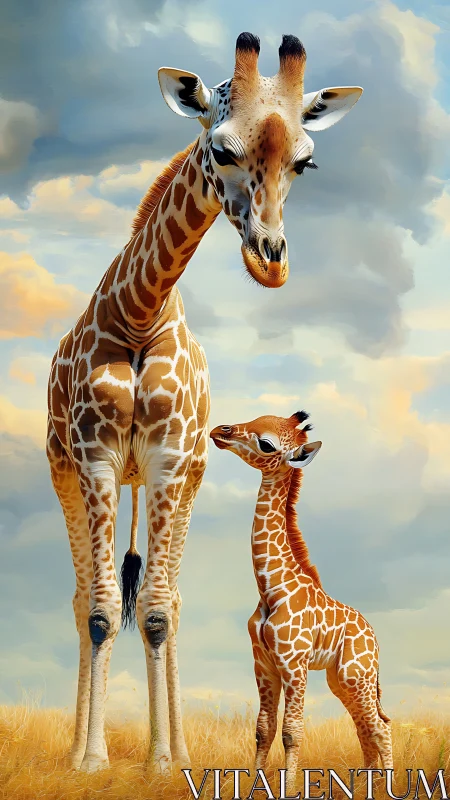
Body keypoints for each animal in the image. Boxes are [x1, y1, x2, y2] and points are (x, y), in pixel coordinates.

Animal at [46, 32, 363, 774]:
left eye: (306, 159)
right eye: (219, 148)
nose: (270, 260)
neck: (139, 311)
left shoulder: (168, 459)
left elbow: (158, 609)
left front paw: (163, 761)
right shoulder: (94, 458)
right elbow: (101, 609)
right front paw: (92, 759)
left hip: (183, 477)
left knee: (170, 600)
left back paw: (176, 746)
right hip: (67, 470)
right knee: (82, 600)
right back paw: (79, 744)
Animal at [210, 411, 393, 793]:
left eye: (266, 444)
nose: (220, 431)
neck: (270, 587)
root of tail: (374, 637)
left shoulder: (294, 664)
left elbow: (292, 733)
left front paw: (290, 790)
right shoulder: (263, 664)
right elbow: (263, 730)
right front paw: (252, 789)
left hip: (358, 676)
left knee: (381, 729)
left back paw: (391, 788)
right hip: (342, 681)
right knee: (365, 730)